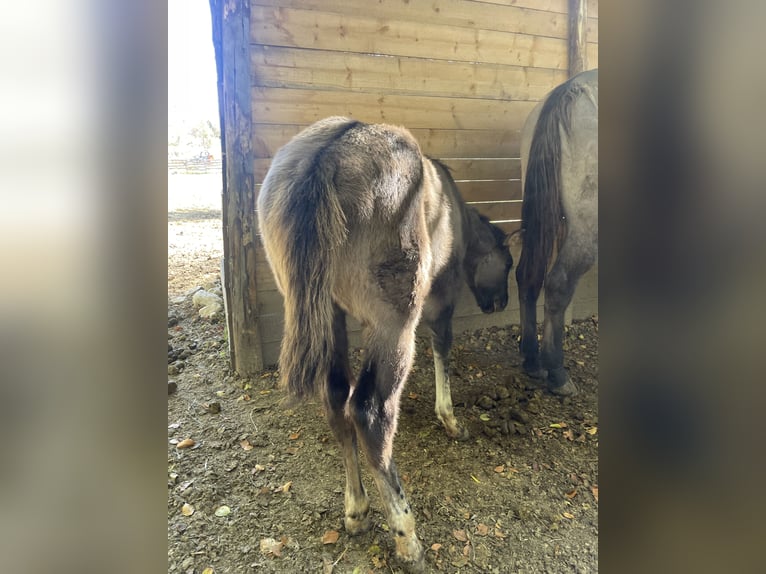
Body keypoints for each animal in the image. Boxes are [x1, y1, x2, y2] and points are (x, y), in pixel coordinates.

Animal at [257, 116, 513, 570]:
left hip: (330, 316)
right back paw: (406, 535)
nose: (498, 303)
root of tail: (327, 155)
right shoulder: (440, 299)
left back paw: (357, 510)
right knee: (369, 412)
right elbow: (443, 347)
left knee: (336, 400)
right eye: (508, 265)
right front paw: (450, 419)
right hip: (394, 328)